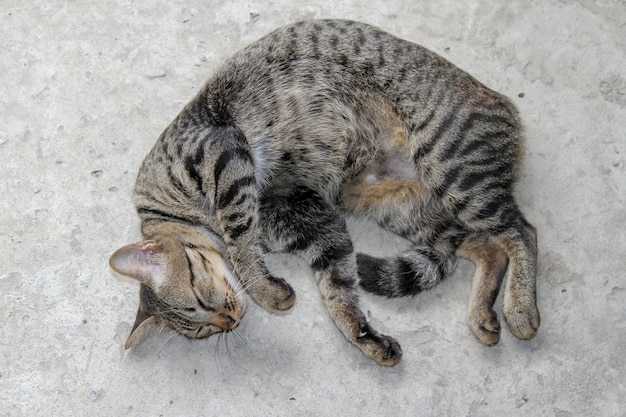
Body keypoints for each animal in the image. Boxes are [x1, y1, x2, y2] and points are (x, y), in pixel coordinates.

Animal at [107, 19, 536, 364]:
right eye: (201, 329)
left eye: (199, 299)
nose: (229, 321)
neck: (172, 210)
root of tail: (503, 103)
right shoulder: (310, 218)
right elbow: (338, 289)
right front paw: (364, 338)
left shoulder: (223, 155)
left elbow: (240, 243)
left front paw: (264, 291)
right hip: (402, 209)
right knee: (488, 247)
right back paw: (483, 315)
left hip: (453, 168)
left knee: (522, 232)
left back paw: (520, 309)